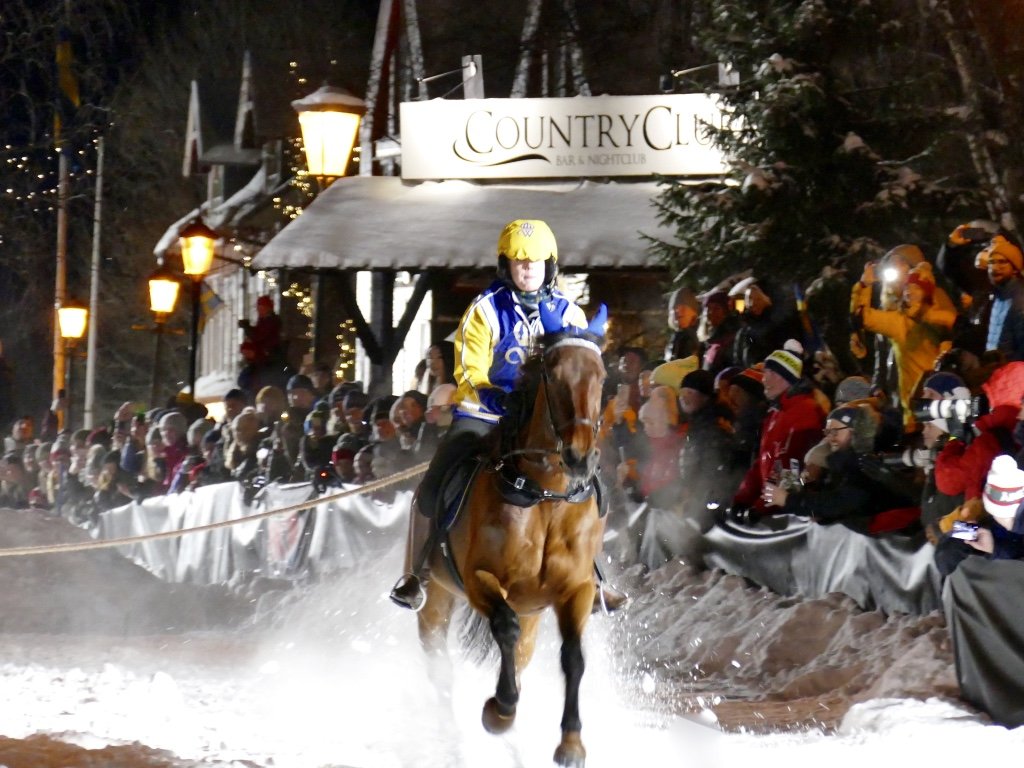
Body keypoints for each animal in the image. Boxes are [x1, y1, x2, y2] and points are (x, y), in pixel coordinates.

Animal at [415, 303, 606, 765]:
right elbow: (504, 627)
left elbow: (573, 657)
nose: (579, 455)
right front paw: (499, 710)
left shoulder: (575, 589)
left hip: (532, 612)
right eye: (552, 374)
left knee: (519, 655)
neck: (544, 497)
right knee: (443, 671)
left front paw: (571, 743)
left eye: (602, 375)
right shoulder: (480, 580)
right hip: (435, 603)